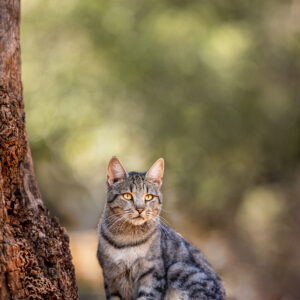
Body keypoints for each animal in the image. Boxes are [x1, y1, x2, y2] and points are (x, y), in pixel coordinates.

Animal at [97, 158, 226, 298]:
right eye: (127, 196)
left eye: (149, 197)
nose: (140, 209)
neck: (127, 238)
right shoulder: (110, 277)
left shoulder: (152, 273)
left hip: (179, 269)